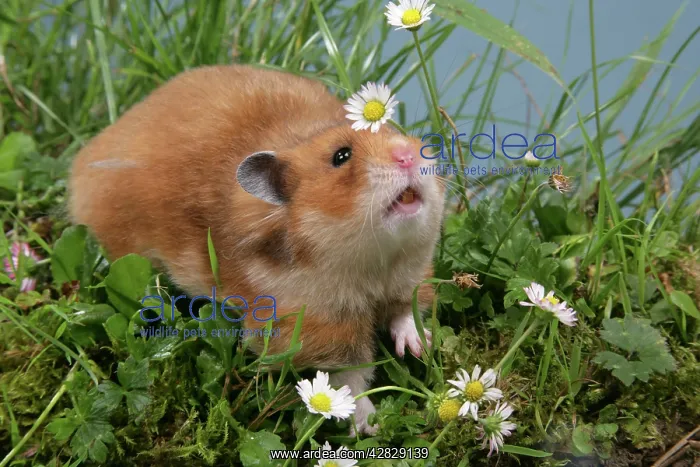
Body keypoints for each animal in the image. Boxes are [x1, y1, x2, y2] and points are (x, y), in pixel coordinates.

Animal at [68, 64, 445, 435]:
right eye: (341, 156)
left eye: (396, 130)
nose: (408, 154)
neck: (376, 265)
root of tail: (84, 158)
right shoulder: (314, 329)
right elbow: (349, 377)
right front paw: (368, 425)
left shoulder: (411, 277)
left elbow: (406, 312)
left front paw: (421, 347)